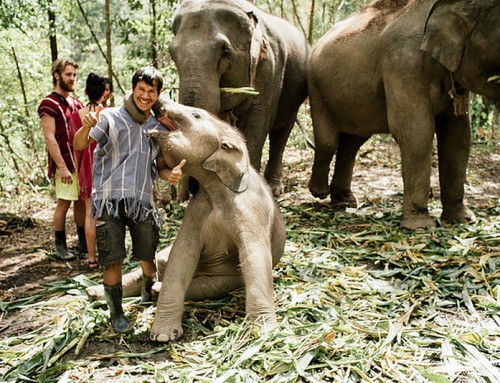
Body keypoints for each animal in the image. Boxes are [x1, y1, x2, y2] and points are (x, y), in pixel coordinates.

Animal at [148, 96, 286, 342]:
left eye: (195, 115)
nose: (158, 98)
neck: (216, 186)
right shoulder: (196, 209)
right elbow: (181, 254)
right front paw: (163, 337)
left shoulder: (251, 209)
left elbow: (254, 255)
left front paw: (264, 333)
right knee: (161, 260)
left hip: (226, 279)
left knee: (208, 287)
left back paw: (155, 289)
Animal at [169, 0, 308, 196]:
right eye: (172, 53)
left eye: (225, 51)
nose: (187, 192)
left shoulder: (270, 69)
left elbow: (255, 126)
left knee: (281, 133)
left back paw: (274, 189)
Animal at [308, 0, 500, 230]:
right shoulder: (402, 64)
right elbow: (417, 132)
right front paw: (421, 227)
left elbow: (458, 136)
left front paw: (463, 220)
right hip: (316, 88)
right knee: (328, 141)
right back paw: (319, 192)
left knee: (352, 142)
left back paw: (345, 202)